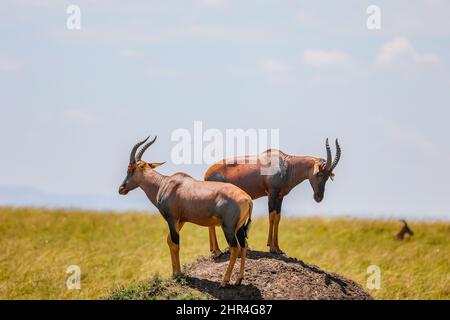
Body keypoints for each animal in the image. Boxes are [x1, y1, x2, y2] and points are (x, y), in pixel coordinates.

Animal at [118, 136, 253, 286]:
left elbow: (175, 243)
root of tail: (247, 199)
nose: (121, 189)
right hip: (239, 228)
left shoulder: (172, 218)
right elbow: (169, 241)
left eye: (131, 168)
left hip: (228, 227)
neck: (165, 183)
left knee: (235, 248)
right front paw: (173, 273)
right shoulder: (181, 220)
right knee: (244, 245)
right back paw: (238, 279)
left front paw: (178, 274)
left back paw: (224, 282)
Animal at [205, 139, 342, 256]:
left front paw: (278, 248)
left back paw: (214, 250)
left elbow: (277, 218)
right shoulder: (272, 193)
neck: (285, 164)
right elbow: (271, 216)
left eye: (328, 176)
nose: (318, 197)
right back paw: (217, 251)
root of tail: (206, 174)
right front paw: (271, 247)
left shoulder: (280, 196)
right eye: (319, 173)